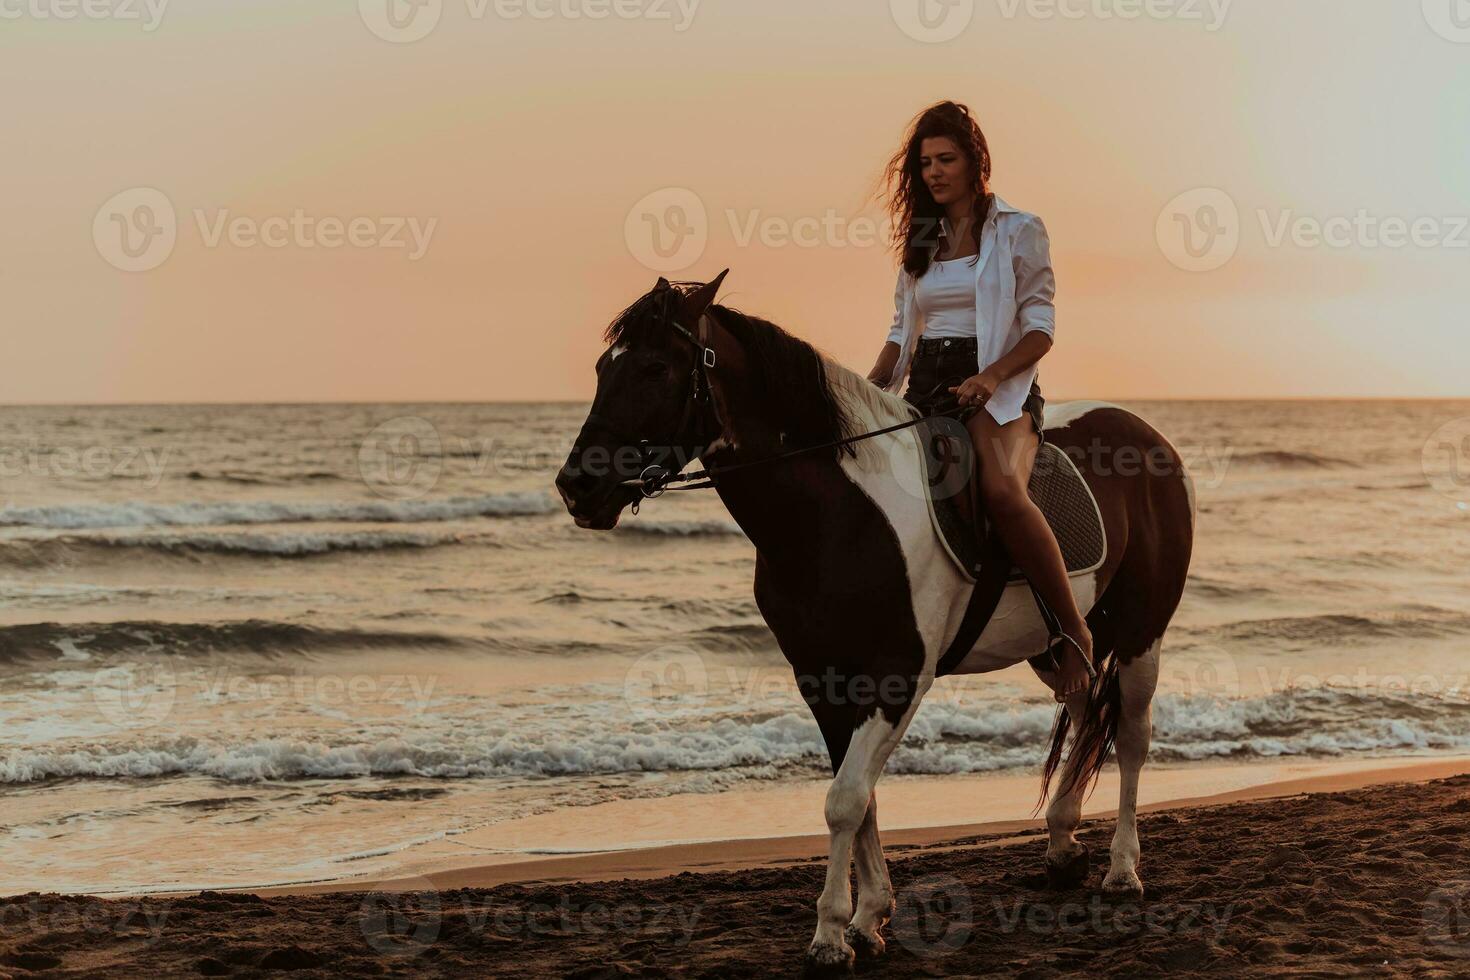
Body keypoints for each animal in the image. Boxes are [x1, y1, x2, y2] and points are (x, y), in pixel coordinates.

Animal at [552, 276, 1193, 975]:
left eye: (656, 368)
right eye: (602, 368)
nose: (576, 486)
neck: (837, 515)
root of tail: (1146, 434)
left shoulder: (896, 678)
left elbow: (845, 800)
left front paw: (832, 935)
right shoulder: (824, 679)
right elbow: (860, 799)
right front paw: (868, 919)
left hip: (1140, 637)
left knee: (1130, 734)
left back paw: (1123, 870)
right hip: (1055, 648)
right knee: (1082, 707)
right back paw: (1062, 842)